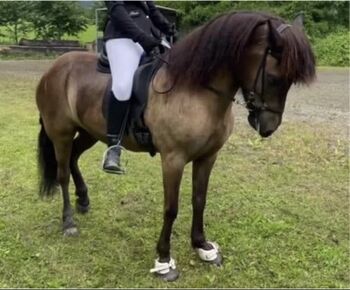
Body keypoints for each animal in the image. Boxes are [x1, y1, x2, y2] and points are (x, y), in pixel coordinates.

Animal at [36, 11, 318, 280]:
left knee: (74, 158)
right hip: (61, 133)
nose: (268, 127)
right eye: (273, 77)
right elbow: (171, 208)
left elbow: (199, 199)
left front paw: (203, 247)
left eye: (290, 81)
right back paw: (69, 222)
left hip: (89, 132)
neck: (195, 90)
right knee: (62, 173)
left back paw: (83, 200)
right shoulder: (173, 159)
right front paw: (163, 260)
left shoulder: (208, 157)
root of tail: (53, 69)